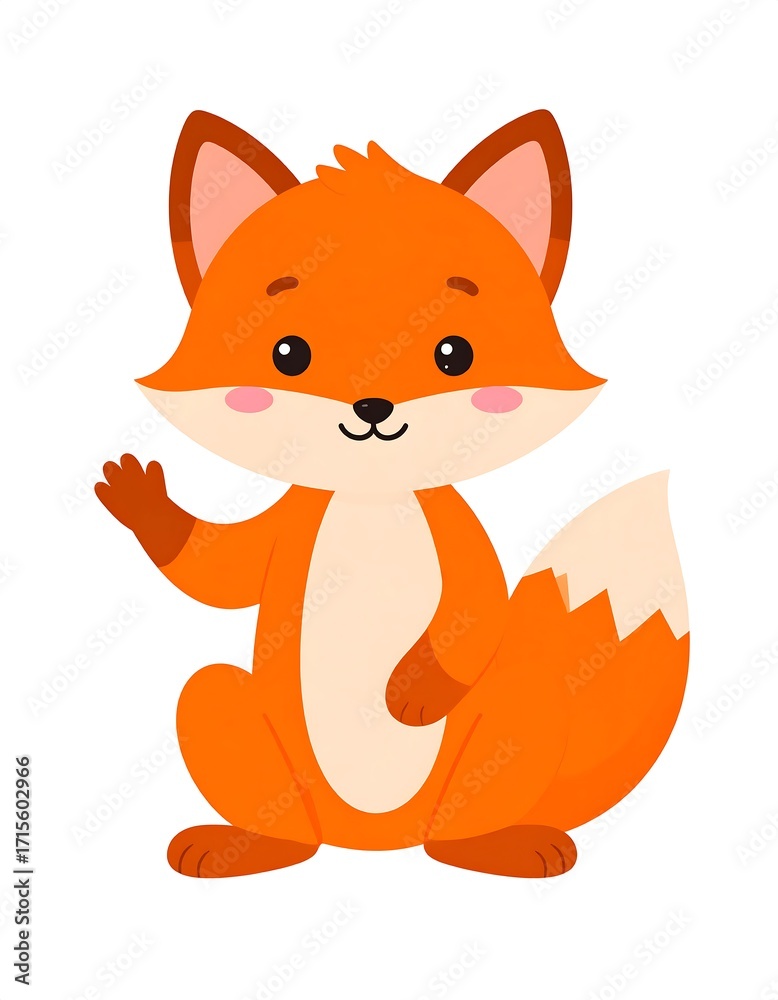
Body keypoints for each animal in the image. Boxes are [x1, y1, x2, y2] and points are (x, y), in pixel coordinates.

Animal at [95, 109, 689, 879]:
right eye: (287, 354)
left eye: (454, 355)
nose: (373, 407)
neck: (370, 499)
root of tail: (374, 840)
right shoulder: (289, 520)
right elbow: (221, 573)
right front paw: (144, 504)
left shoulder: (457, 533)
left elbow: (478, 609)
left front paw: (413, 691)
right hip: (239, 728)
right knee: (245, 751)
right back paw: (246, 846)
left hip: (505, 727)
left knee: (464, 810)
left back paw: (498, 844)